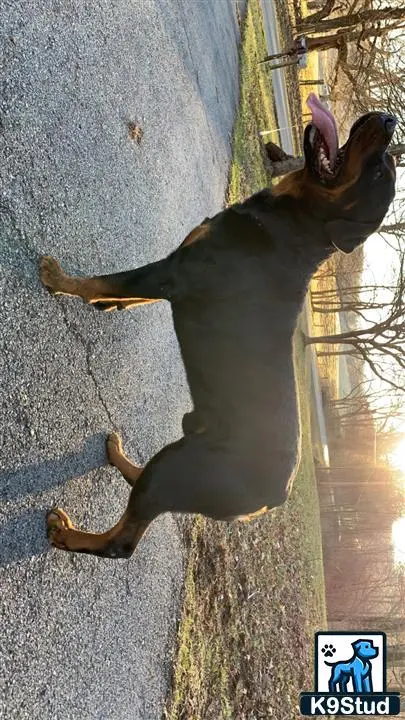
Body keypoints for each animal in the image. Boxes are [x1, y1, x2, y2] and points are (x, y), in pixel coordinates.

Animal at [38, 94, 394, 556]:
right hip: (182, 456)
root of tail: (269, 501)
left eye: (379, 172)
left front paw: (59, 280)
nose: (389, 119)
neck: (295, 221)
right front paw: (108, 304)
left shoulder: (175, 274)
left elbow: (106, 281)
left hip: (185, 469)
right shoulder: (176, 272)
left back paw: (66, 532)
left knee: (123, 541)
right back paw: (121, 461)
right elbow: (127, 295)